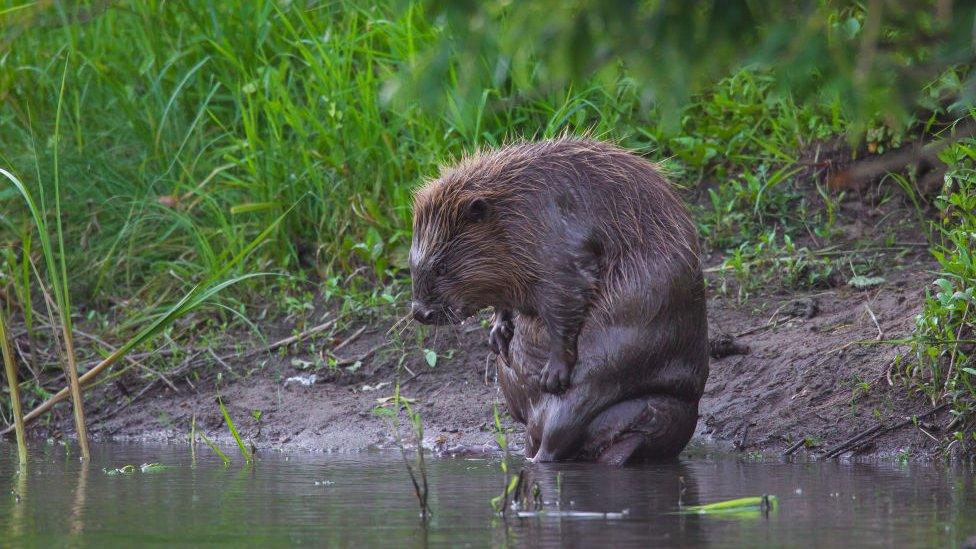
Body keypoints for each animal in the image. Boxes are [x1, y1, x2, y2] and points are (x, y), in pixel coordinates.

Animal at [408, 137, 704, 462]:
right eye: (412, 262)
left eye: (441, 267)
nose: (420, 312)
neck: (513, 209)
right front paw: (498, 332)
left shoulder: (558, 243)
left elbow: (568, 295)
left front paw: (553, 372)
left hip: (603, 372)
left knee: (559, 432)